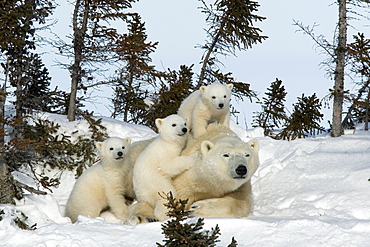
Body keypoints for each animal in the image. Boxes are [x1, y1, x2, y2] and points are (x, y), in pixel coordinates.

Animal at [129, 123, 258, 222]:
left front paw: (196, 208)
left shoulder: (241, 185)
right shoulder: (187, 178)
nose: (241, 169)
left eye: (247, 154)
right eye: (226, 155)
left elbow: (241, 202)